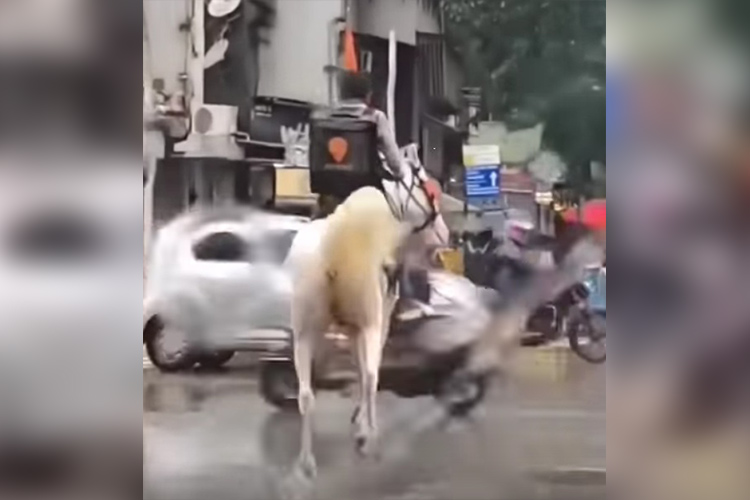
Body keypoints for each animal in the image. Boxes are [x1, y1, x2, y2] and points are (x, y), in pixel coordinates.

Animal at [286, 150, 452, 478]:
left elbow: (357, 369)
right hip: (370, 319)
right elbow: (367, 373)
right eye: (426, 184)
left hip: (305, 329)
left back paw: (307, 462)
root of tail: (332, 250)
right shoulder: (376, 318)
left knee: (307, 394)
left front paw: (357, 420)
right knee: (373, 375)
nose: (445, 233)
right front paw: (362, 428)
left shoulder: (352, 326)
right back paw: (371, 439)